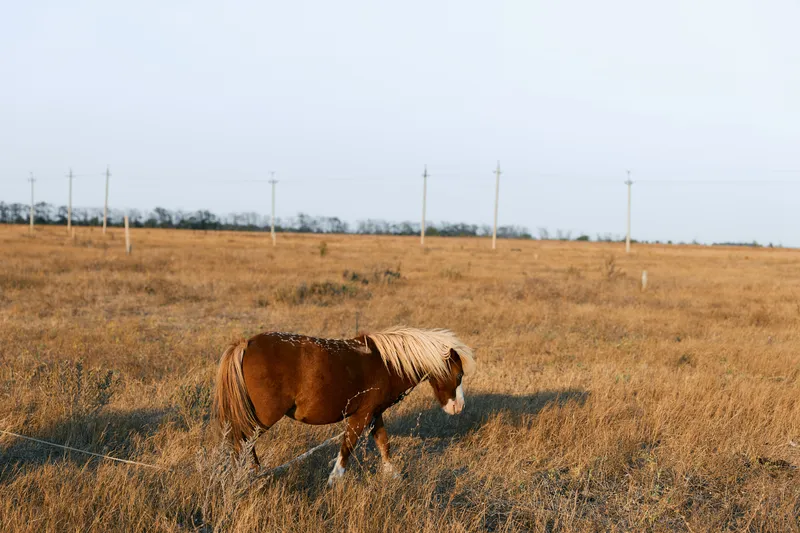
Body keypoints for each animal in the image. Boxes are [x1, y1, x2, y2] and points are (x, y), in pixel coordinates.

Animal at [213, 326, 476, 485]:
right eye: (458, 374)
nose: (459, 407)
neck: (386, 363)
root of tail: (246, 344)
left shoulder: (375, 414)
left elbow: (383, 443)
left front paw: (394, 476)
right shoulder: (361, 415)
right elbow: (347, 447)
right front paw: (333, 481)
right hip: (261, 418)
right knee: (243, 443)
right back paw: (246, 477)